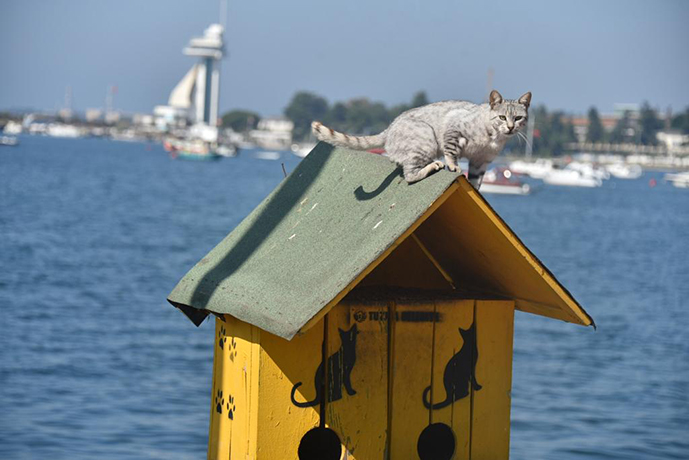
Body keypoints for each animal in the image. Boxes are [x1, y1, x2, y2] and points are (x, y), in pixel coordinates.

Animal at [312, 90, 532, 187]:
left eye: (518, 118)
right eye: (502, 117)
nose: (510, 127)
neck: (494, 138)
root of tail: (389, 129)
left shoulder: (481, 161)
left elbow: (477, 181)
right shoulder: (453, 128)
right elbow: (451, 153)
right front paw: (453, 166)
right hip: (426, 138)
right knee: (409, 175)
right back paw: (433, 166)